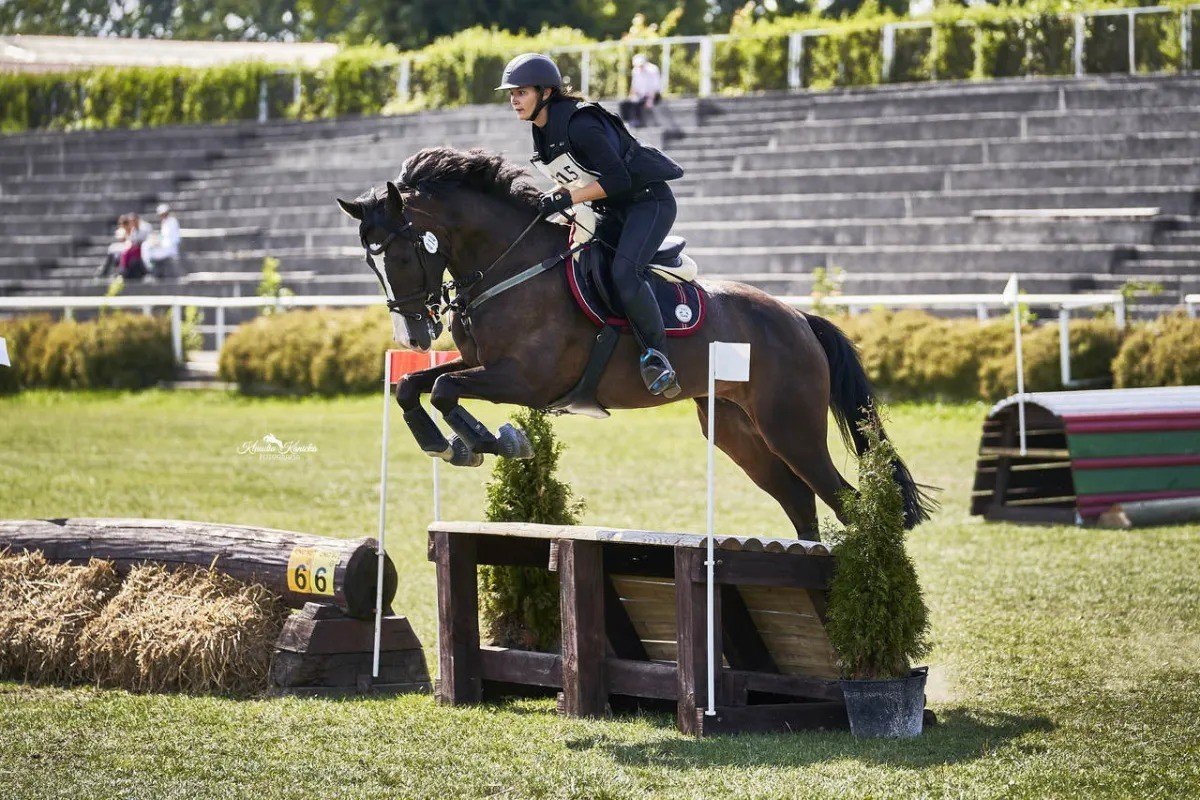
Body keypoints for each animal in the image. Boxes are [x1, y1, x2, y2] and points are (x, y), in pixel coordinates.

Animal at [338, 148, 936, 542]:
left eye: (401, 254)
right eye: (370, 261)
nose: (414, 335)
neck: (512, 265)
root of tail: (798, 319)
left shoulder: (524, 380)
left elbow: (443, 387)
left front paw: (494, 440)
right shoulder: (481, 363)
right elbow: (413, 384)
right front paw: (449, 445)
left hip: (790, 425)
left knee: (846, 502)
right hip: (738, 432)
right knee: (800, 502)